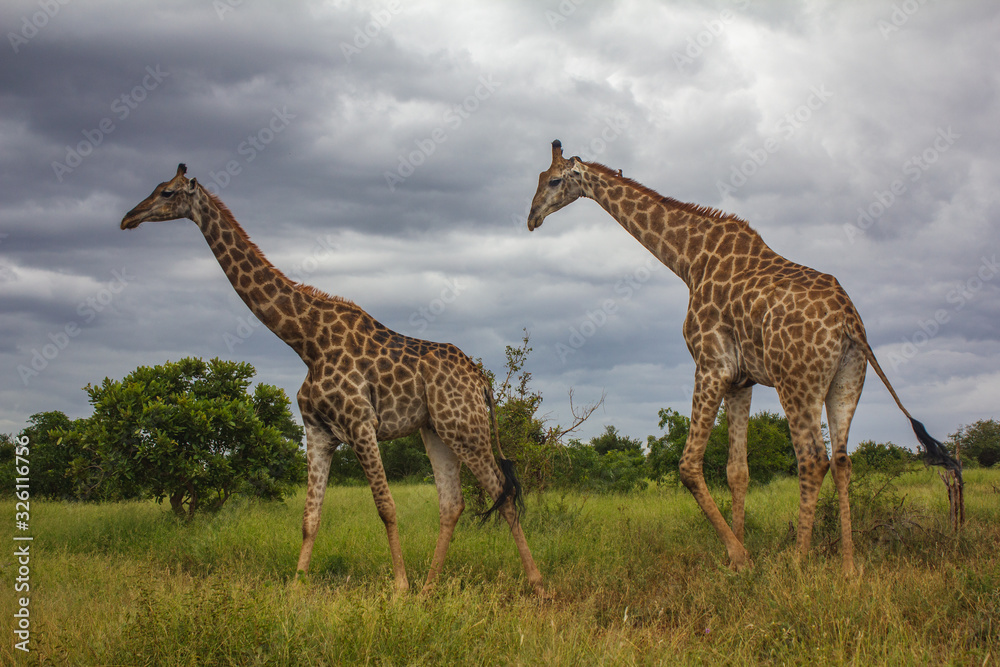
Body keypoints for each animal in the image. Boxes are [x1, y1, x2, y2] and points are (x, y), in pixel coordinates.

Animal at [121, 164, 544, 595]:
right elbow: (310, 517)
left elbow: (386, 507)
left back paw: (535, 582)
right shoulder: (318, 432)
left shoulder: (360, 423)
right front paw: (296, 588)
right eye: (156, 188)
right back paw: (430, 587)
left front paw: (399, 587)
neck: (306, 341)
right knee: (453, 503)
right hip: (436, 430)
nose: (128, 218)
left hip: (465, 428)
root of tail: (481, 381)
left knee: (502, 492)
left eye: (168, 192)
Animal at [527, 141, 961, 573]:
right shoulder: (742, 380)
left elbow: (688, 465)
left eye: (553, 181)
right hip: (847, 381)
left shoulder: (710, 364)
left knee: (812, 458)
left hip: (796, 383)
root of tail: (849, 321)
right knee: (841, 460)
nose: (531, 218)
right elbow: (738, 470)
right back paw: (850, 568)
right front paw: (738, 551)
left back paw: (797, 562)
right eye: (539, 178)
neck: (689, 260)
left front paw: (739, 554)